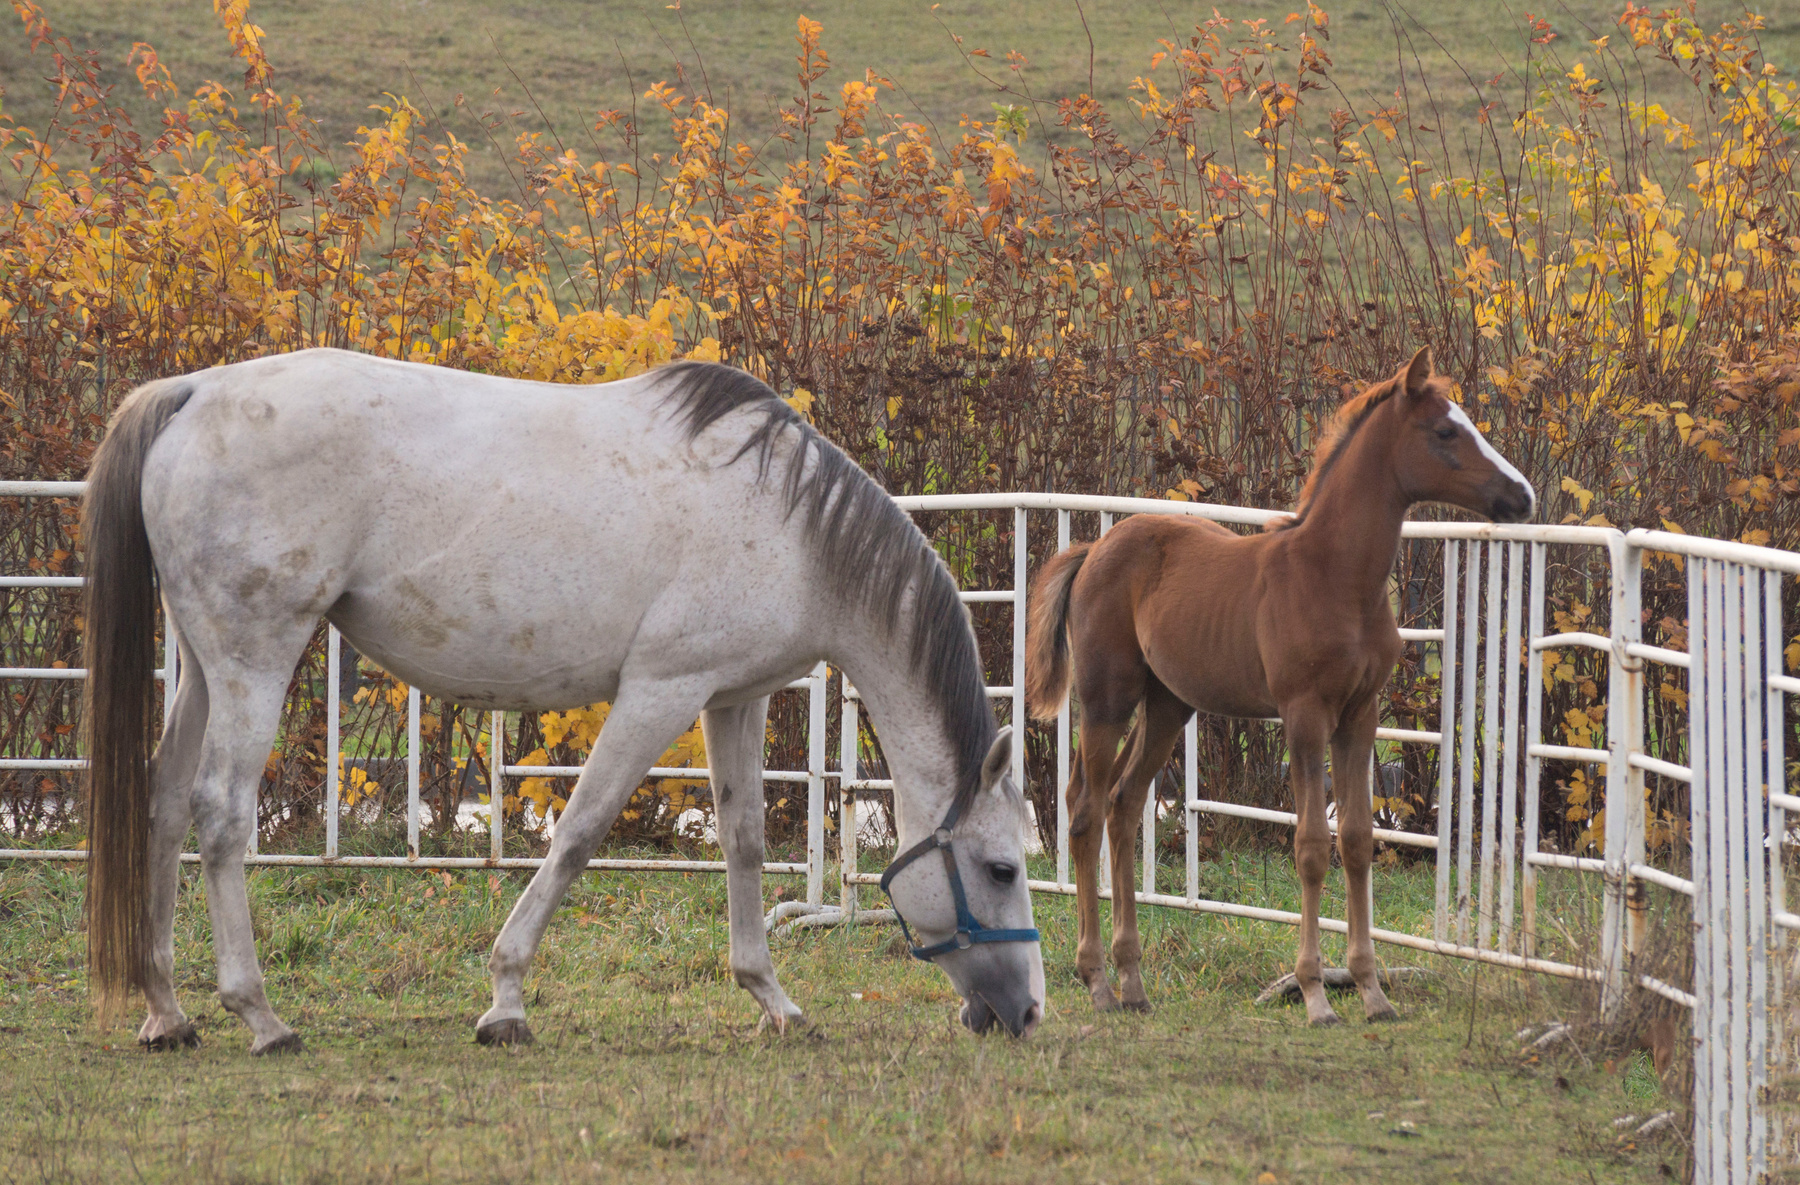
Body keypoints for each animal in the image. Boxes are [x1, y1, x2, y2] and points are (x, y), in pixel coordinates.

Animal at [79, 349, 1045, 1054]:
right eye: (1002, 868)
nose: (1029, 1012)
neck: (790, 524)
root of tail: (196, 391)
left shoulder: (731, 697)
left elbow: (740, 845)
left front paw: (772, 997)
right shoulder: (659, 692)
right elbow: (580, 832)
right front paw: (506, 998)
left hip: (206, 666)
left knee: (165, 801)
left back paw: (166, 1009)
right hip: (257, 654)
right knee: (218, 810)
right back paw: (259, 1014)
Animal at [1023, 348, 1534, 1025]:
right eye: (1446, 431)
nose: (1522, 495)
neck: (1335, 577)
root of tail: (1093, 549)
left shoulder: (1361, 714)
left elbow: (1357, 840)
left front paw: (1372, 993)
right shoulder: (1304, 715)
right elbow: (1313, 845)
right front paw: (1317, 995)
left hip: (1168, 705)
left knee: (1125, 805)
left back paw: (1133, 982)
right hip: (1108, 700)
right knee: (1084, 808)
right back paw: (1099, 980)